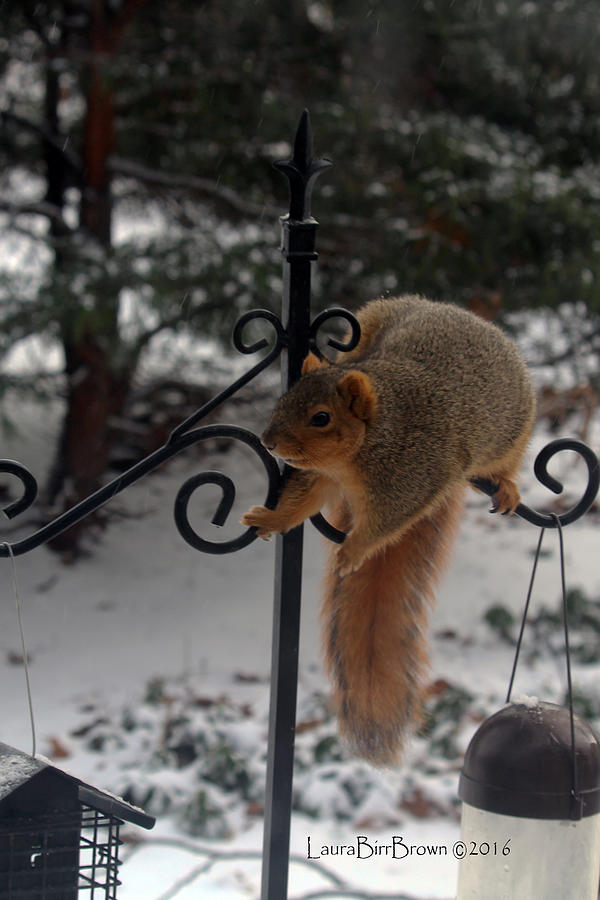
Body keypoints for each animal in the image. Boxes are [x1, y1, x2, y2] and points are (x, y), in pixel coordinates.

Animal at [241, 296, 536, 768]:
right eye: (282, 400)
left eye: (321, 418)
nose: (269, 441)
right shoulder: (320, 476)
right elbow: (301, 503)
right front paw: (272, 519)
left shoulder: (412, 478)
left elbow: (386, 522)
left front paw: (354, 549)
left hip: (511, 437)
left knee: (505, 464)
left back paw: (507, 486)